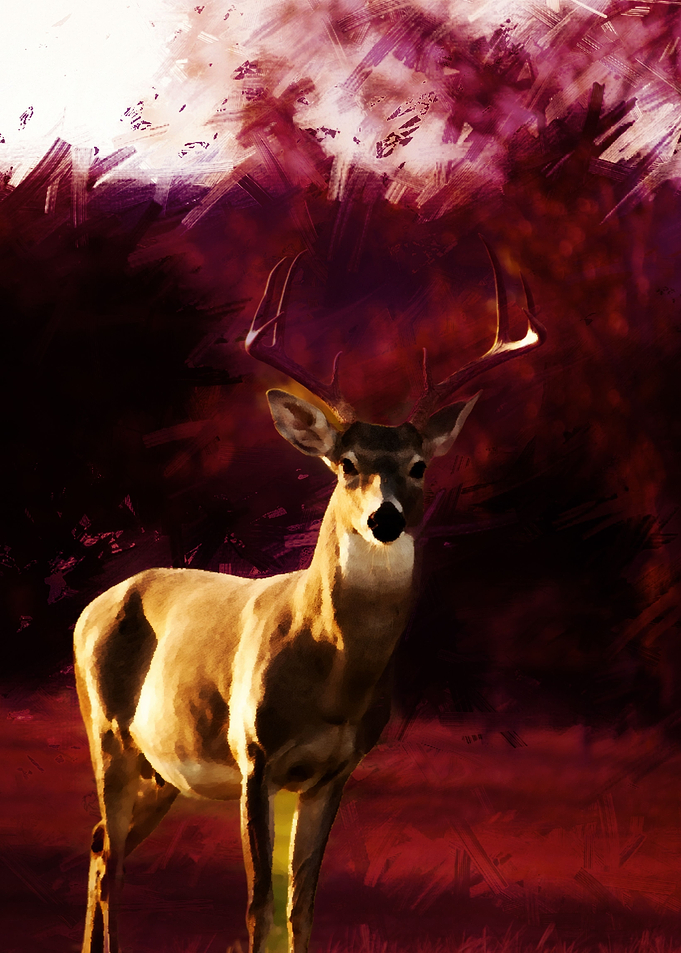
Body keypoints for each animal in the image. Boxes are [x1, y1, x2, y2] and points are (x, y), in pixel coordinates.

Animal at [73, 241, 545, 953]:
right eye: (347, 464)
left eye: (418, 466)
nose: (385, 518)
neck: (332, 677)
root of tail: (91, 608)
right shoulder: (254, 757)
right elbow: (256, 907)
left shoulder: (335, 772)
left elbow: (303, 905)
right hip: (106, 731)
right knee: (111, 854)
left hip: (160, 769)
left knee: (103, 846)